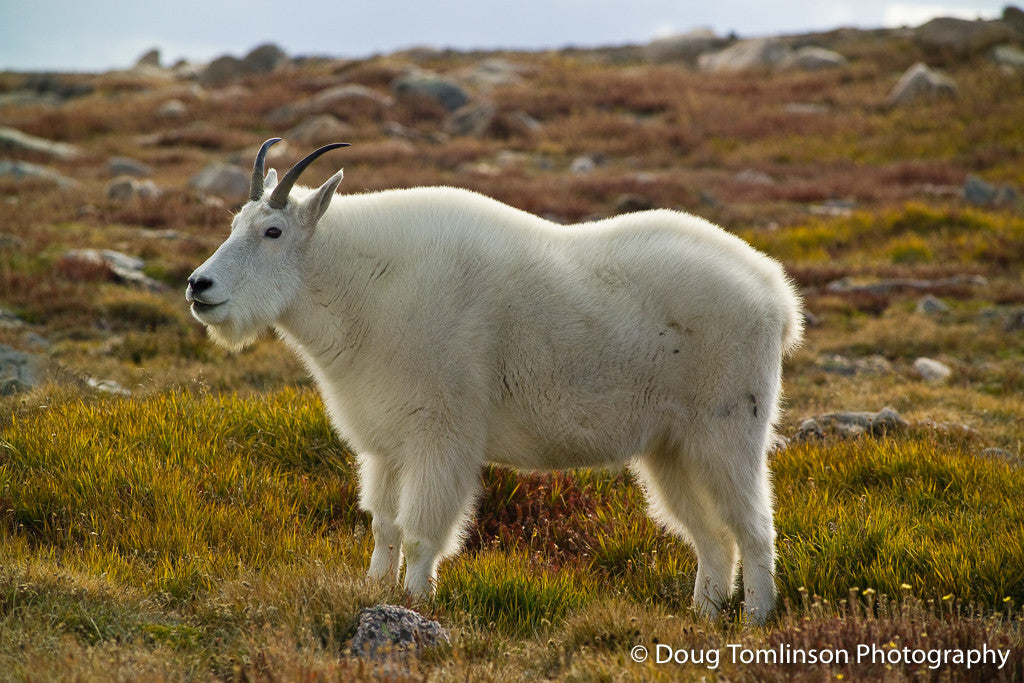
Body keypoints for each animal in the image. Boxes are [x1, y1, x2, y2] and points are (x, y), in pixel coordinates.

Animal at [186, 139, 803, 623]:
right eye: (234, 225)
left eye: (272, 230)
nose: (199, 285)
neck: (362, 283)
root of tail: (776, 294)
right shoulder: (385, 444)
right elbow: (383, 527)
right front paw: (371, 593)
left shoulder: (442, 434)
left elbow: (420, 532)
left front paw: (415, 605)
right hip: (670, 448)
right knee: (711, 536)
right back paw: (704, 616)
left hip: (727, 428)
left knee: (754, 527)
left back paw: (756, 620)